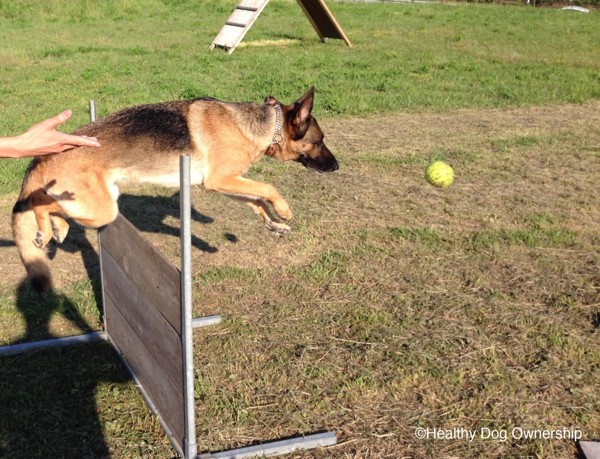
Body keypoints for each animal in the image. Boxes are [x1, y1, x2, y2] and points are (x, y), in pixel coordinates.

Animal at [11, 87, 338, 292]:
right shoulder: (220, 179)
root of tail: (46, 154)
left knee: (51, 205)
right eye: (320, 141)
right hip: (102, 210)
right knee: (39, 201)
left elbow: (256, 200)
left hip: (99, 203)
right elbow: (268, 188)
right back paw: (46, 228)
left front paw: (274, 223)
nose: (336, 167)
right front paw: (284, 210)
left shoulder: (225, 183)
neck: (267, 126)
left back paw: (56, 228)